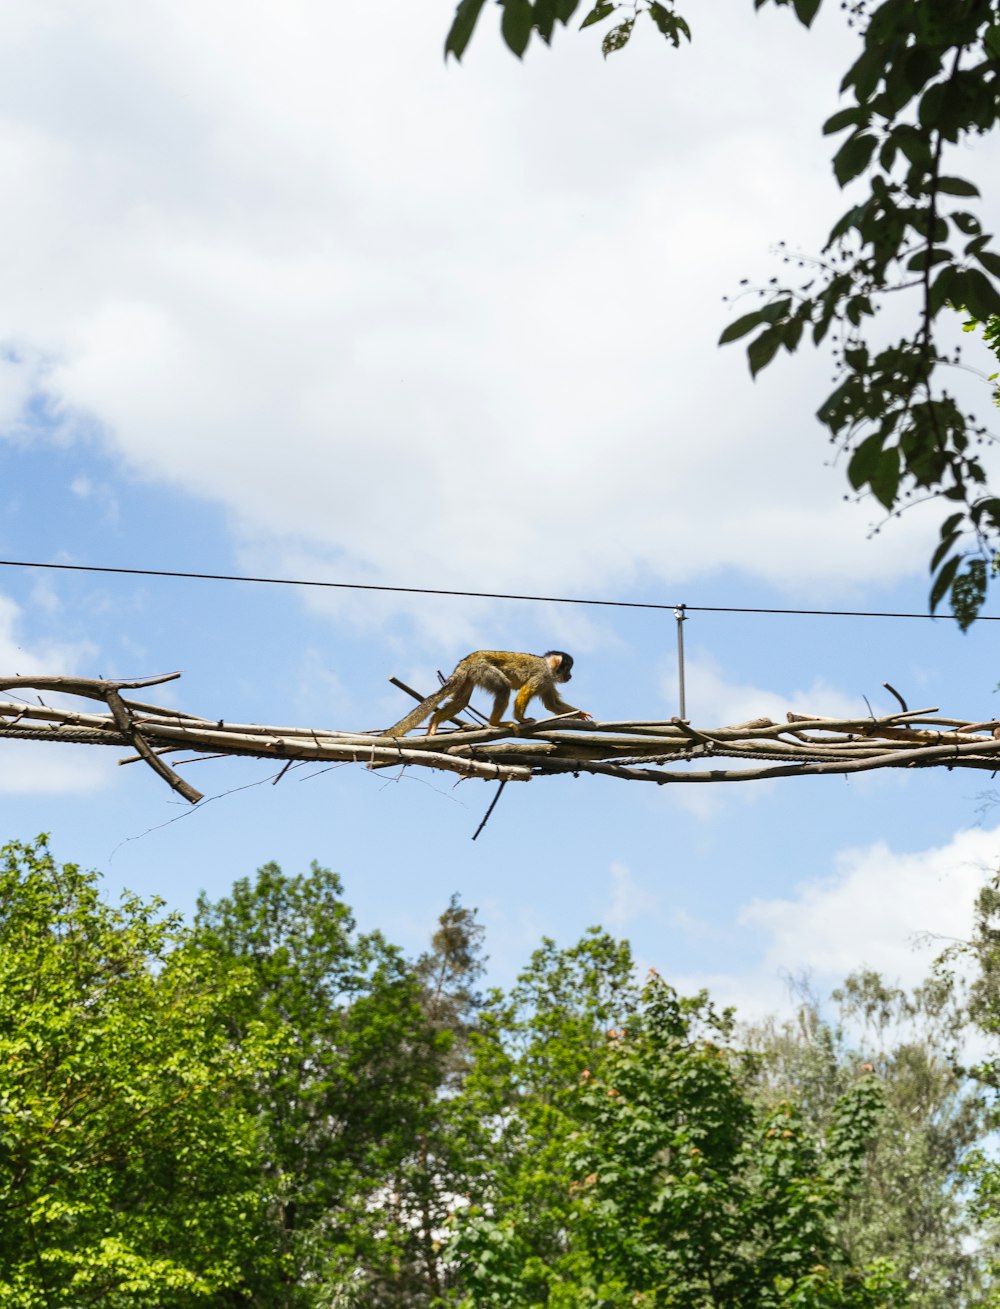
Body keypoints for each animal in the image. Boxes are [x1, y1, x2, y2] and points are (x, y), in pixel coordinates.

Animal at [379, 651, 586, 738]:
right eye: (567, 668)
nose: (570, 675)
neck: (549, 670)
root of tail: (468, 659)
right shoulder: (543, 676)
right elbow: (525, 690)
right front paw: (522, 719)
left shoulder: (548, 681)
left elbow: (552, 704)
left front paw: (580, 714)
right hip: (483, 668)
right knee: (503, 687)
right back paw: (496, 723)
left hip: (470, 675)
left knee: (462, 700)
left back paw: (435, 721)